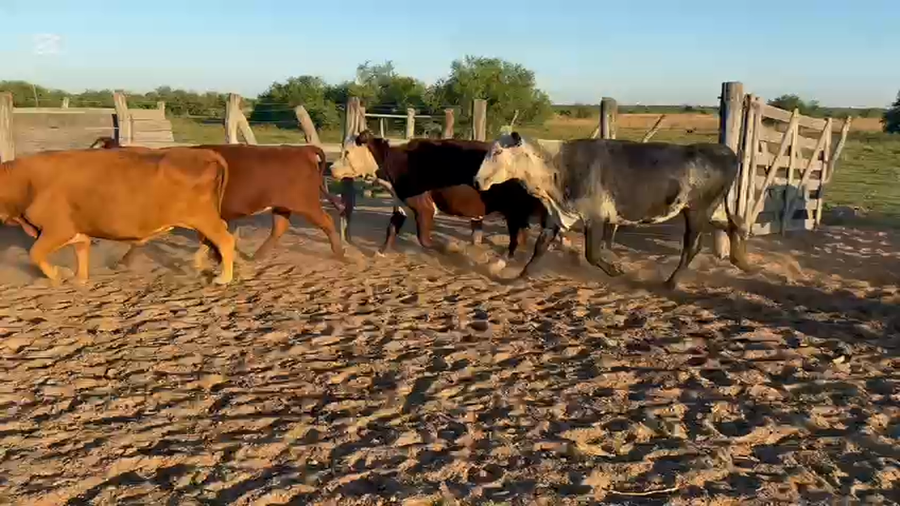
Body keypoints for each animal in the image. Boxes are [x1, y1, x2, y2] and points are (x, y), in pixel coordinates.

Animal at [0, 148, 235, 285]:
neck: (25, 180)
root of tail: (205, 153)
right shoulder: (75, 231)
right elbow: (81, 251)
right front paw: (79, 279)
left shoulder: (57, 229)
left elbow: (35, 253)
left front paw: (59, 273)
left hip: (202, 217)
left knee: (225, 239)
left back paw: (224, 278)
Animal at [91, 138, 346, 266]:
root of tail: (302, 150)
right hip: (282, 205)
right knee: (280, 227)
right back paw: (256, 257)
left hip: (306, 203)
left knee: (327, 221)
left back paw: (340, 253)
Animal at [328, 130, 548, 264]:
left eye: (347, 153)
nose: (331, 169)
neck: (397, 164)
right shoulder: (400, 205)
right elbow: (391, 229)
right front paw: (380, 252)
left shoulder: (424, 207)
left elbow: (424, 239)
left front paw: (451, 248)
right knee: (522, 235)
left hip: (514, 210)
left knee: (517, 236)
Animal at [473, 132, 755, 289]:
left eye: (497, 152)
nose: (476, 181)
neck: (557, 165)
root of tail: (726, 152)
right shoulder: (557, 216)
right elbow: (539, 248)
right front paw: (519, 277)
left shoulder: (595, 217)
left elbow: (592, 254)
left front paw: (616, 271)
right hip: (712, 210)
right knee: (734, 225)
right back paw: (741, 261)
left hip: (697, 211)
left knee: (692, 247)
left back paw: (671, 283)